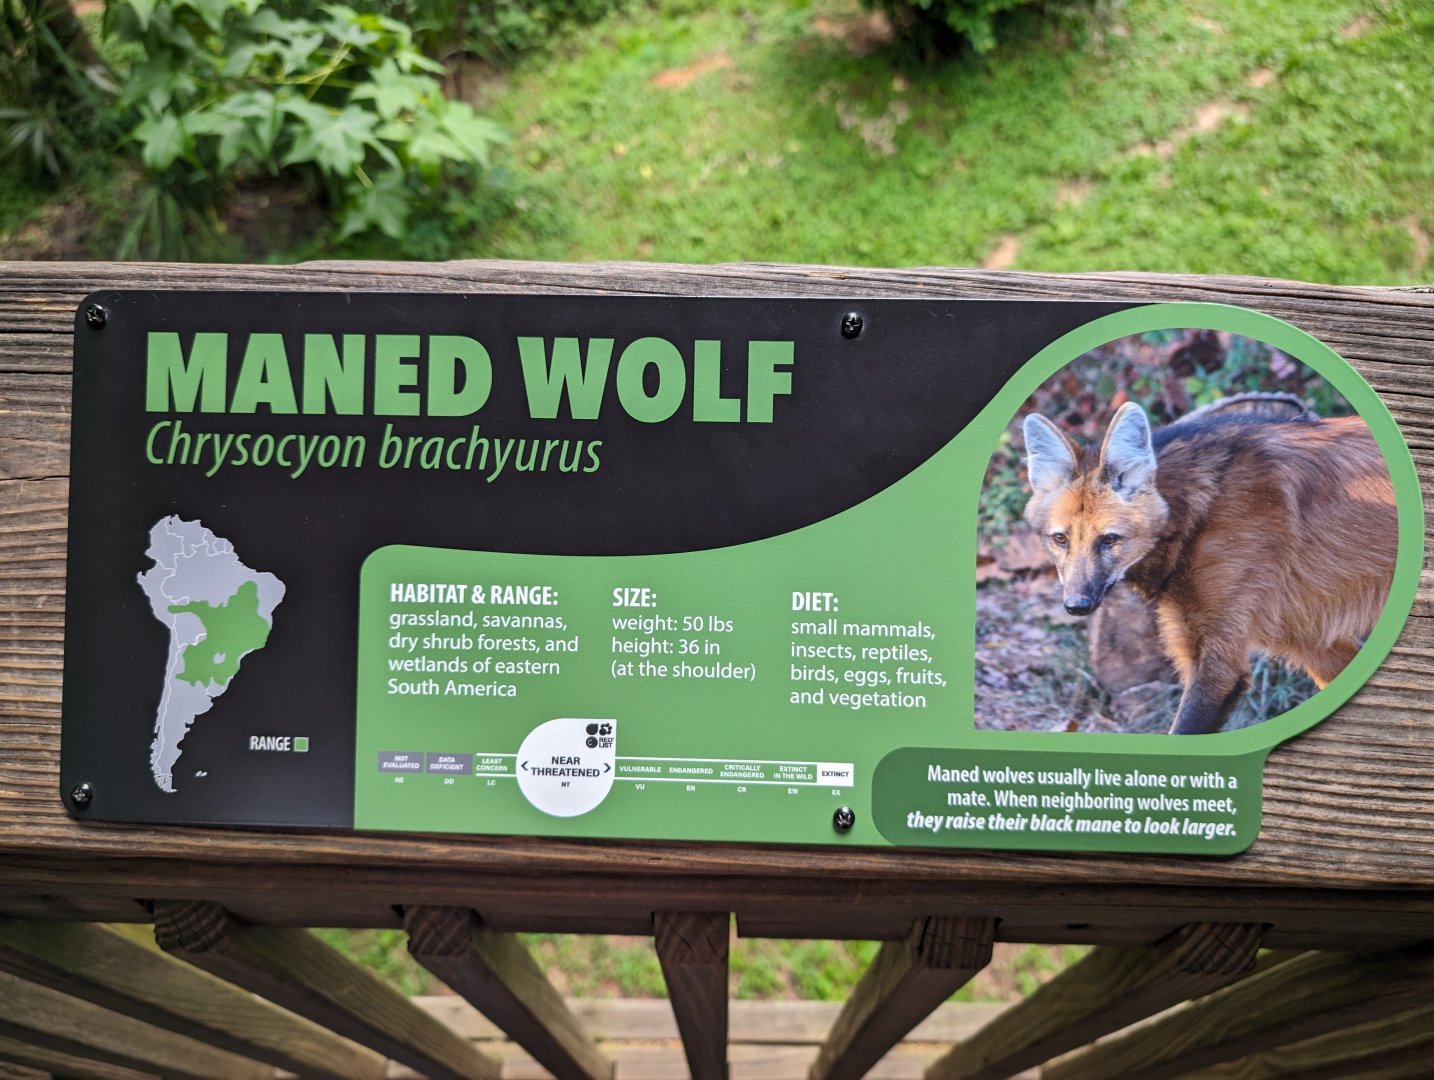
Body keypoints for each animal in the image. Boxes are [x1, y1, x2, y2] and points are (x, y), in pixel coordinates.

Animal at [1021, 401, 1397, 734]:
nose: (1077, 605)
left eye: (1109, 539)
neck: (1199, 513)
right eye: (1060, 539)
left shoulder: (1220, 662)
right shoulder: (1314, 640)